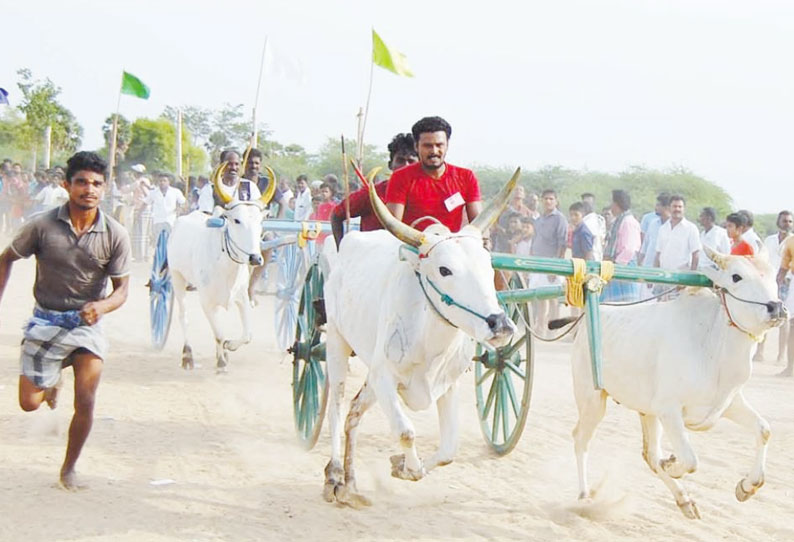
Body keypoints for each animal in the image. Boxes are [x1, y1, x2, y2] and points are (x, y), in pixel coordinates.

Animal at [318, 171, 516, 510]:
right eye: (444, 269)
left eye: (488, 266)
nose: (500, 324)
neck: (430, 343)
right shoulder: (384, 377)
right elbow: (406, 432)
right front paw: (406, 466)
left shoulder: (447, 384)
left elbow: (448, 450)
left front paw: (402, 465)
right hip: (336, 340)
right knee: (337, 406)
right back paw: (333, 476)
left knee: (354, 413)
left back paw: (350, 484)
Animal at [568, 249, 784, 520]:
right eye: (736, 276)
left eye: (773, 275)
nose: (776, 307)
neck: (713, 343)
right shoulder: (669, 410)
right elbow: (690, 461)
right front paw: (672, 465)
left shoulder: (729, 403)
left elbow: (764, 430)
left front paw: (747, 486)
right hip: (592, 400)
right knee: (581, 439)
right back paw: (584, 495)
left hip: (646, 411)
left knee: (650, 455)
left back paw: (684, 500)